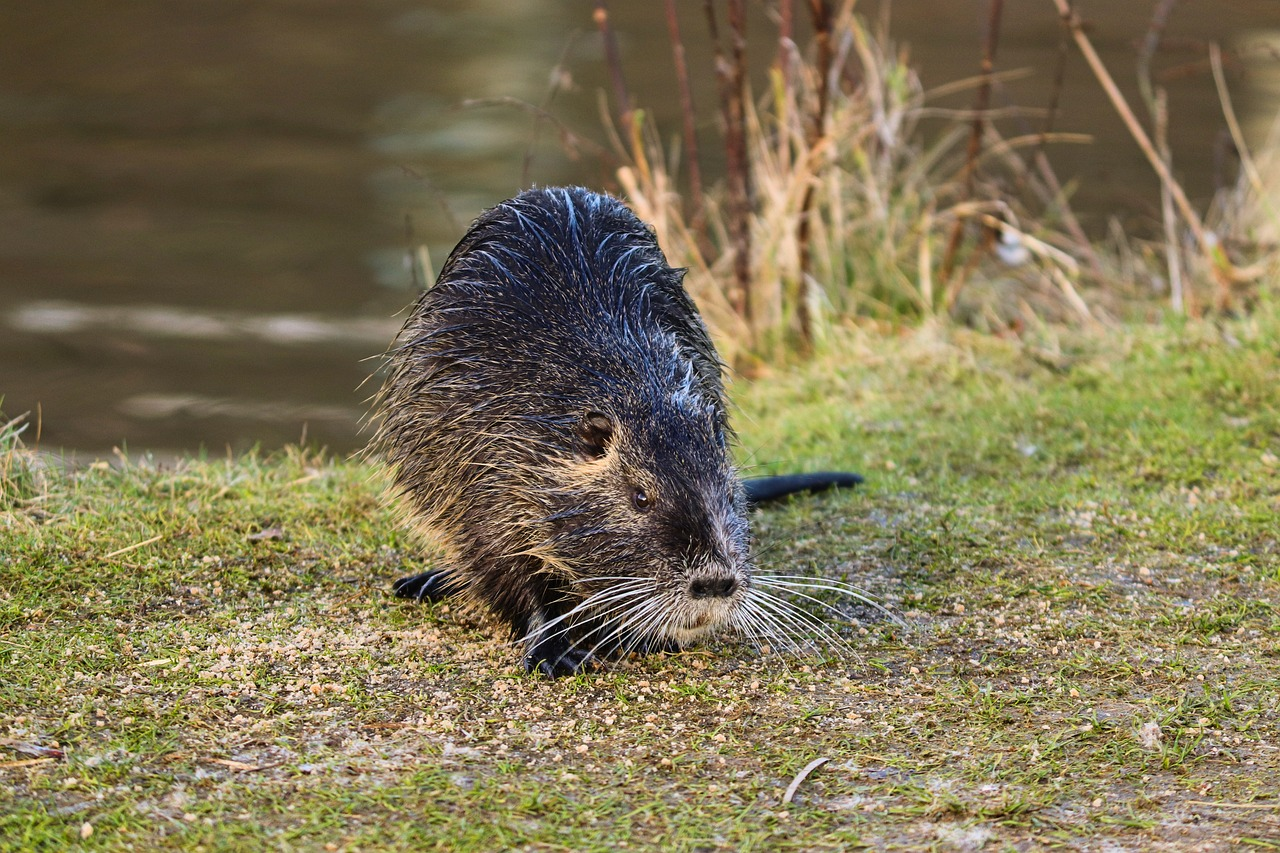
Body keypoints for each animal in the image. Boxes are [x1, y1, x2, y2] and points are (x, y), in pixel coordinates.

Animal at [373, 183, 865, 676]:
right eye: (640, 498)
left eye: (728, 494)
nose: (713, 584)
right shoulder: (478, 470)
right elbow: (505, 568)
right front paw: (554, 651)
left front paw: (642, 635)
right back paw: (427, 581)